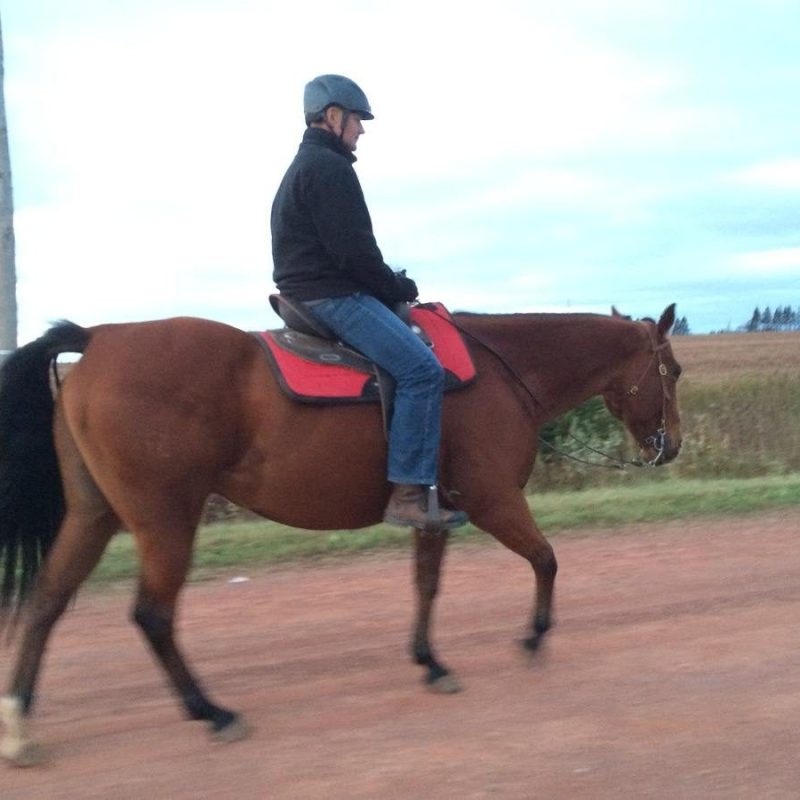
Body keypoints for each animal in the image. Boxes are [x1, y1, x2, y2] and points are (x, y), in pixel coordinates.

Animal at [0, 303, 682, 765]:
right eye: (672, 369)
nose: (672, 446)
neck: (499, 372)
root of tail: (98, 338)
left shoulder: (436, 511)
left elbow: (426, 585)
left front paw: (430, 662)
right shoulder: (493, 501)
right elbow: (546, 559)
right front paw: (535, 636)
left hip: (94, 516)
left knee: (47, 602)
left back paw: (20, 723)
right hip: (164, 520)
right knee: (152, 615)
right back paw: (211, 712)